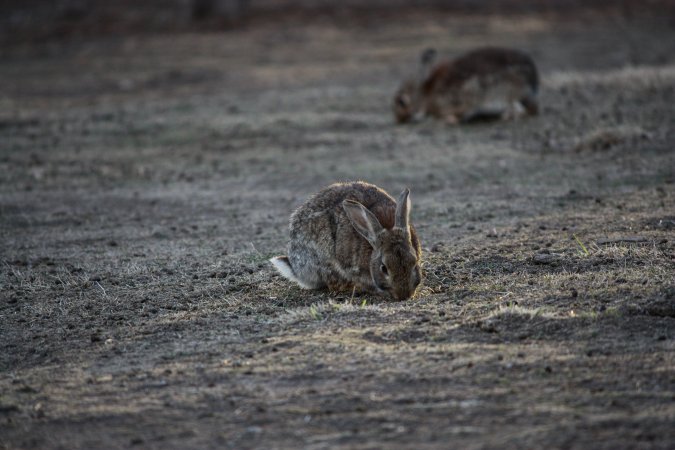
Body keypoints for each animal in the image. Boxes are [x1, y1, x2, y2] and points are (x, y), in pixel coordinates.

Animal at [393, 47, 539, 124]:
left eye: (402, 101)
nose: (398, 119)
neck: (427, 94)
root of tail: (533, 78)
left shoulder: (461, 101)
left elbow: (462, 113)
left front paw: (449, 120)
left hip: (510, 95)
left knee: (529, 110)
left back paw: (506, 117)